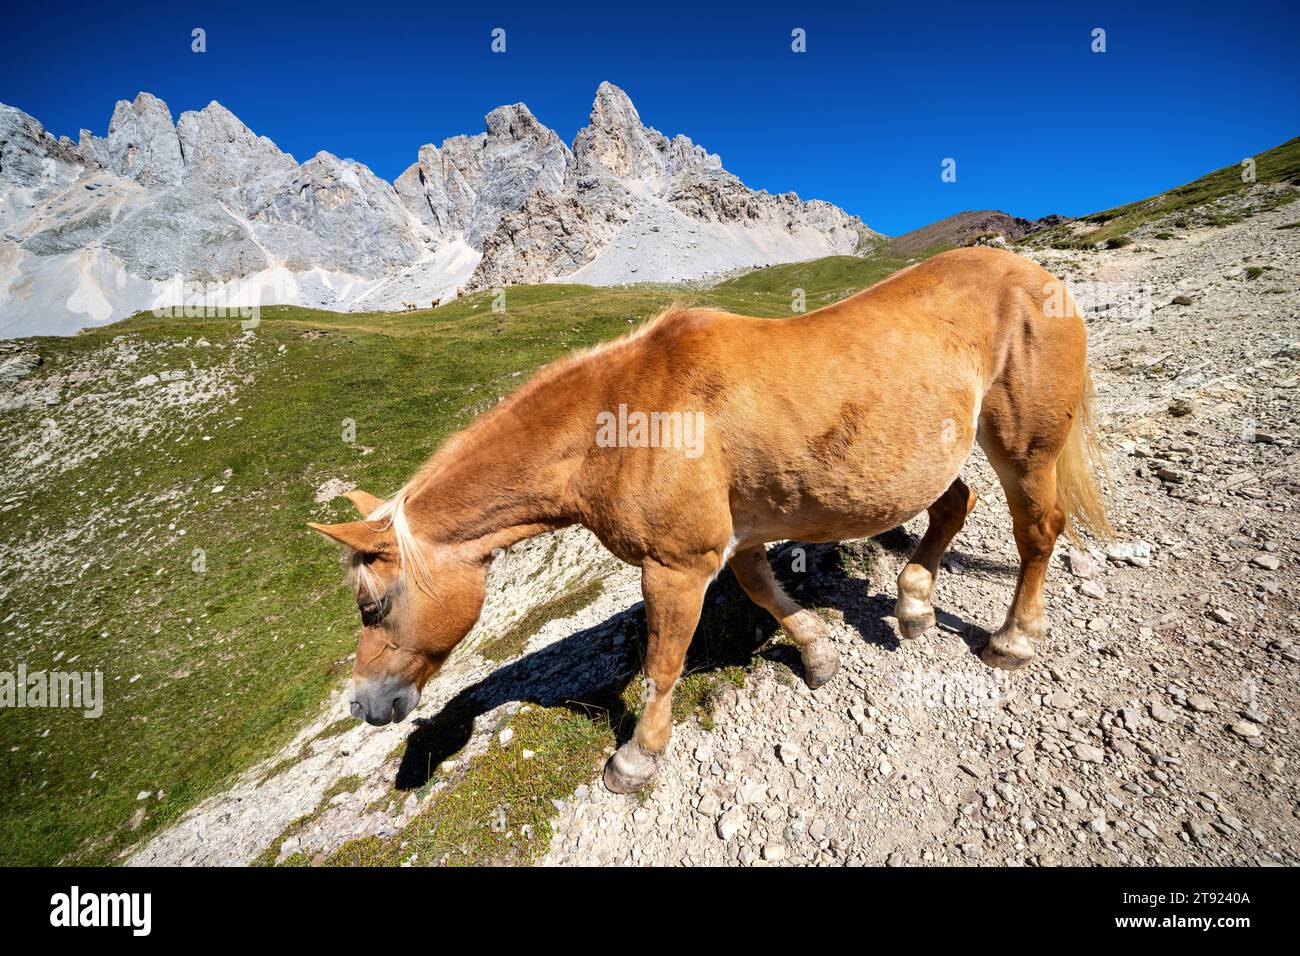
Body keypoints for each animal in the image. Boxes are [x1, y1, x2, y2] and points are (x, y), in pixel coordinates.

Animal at [306, 244, 1107, 790]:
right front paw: (818, 655)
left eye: (372, 605)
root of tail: (1037, 276)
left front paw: (637, 758)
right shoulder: (734, 537)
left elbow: (664, 662)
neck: (617, 423)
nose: (365, 705)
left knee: (1037, 532)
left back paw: (1014, 638)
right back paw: (912, 605)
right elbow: (764, 591)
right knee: (953, 507)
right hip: (923, 461)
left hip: (1024, 447)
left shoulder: (676, 566)